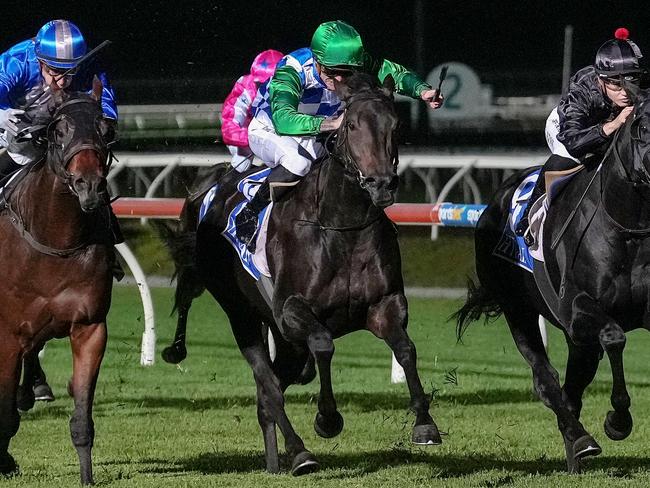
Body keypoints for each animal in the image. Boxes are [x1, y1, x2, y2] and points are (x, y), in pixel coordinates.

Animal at [0, 86, 115, 486]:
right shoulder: (7, 334)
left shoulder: (90, 327)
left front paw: (87, 474)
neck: (56, 240)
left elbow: (82, 414)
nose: (89, 185)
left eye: (106, 128)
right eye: (58, 129)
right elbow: (2, 409)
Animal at [170, 74, 438, 474]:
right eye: (351, 125)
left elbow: (406, 349)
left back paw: (274, 461)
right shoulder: (291, 312)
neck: (342, 226)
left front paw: (425, 424)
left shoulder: (384, 305)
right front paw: (327, 419)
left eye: (396, 125)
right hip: (242, 315)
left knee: (270, 392)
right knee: (268, 386)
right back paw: (299, 453)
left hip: (284, 341)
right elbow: (324, 345)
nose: (381, 184)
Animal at [454, 88, 650, 472]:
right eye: (644, 126)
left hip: (576, 341)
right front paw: (618, 422)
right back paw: (582, 440)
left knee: (572, 389)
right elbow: (615, 336)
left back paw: (575, 449)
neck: (627, 226)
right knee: (547, 381)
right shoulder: (576, 309)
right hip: (518, 310)